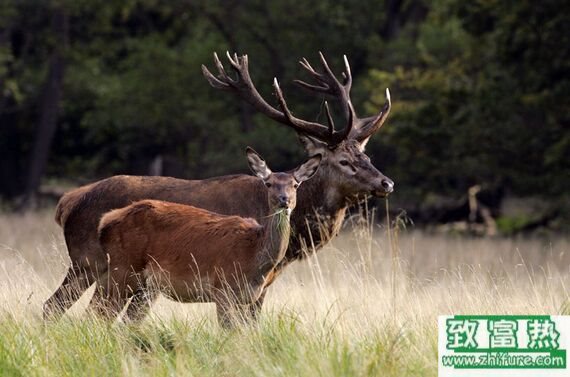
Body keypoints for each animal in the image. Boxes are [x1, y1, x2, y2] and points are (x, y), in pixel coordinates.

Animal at [89, 148, 320, 324]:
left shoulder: (246, 298)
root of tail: (105, 221)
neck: (253, 257)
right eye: (269, 183)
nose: (284, 200)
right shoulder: (222, 288)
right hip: (123, 267)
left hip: (143, 284)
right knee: (98, 312)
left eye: (295, 184)